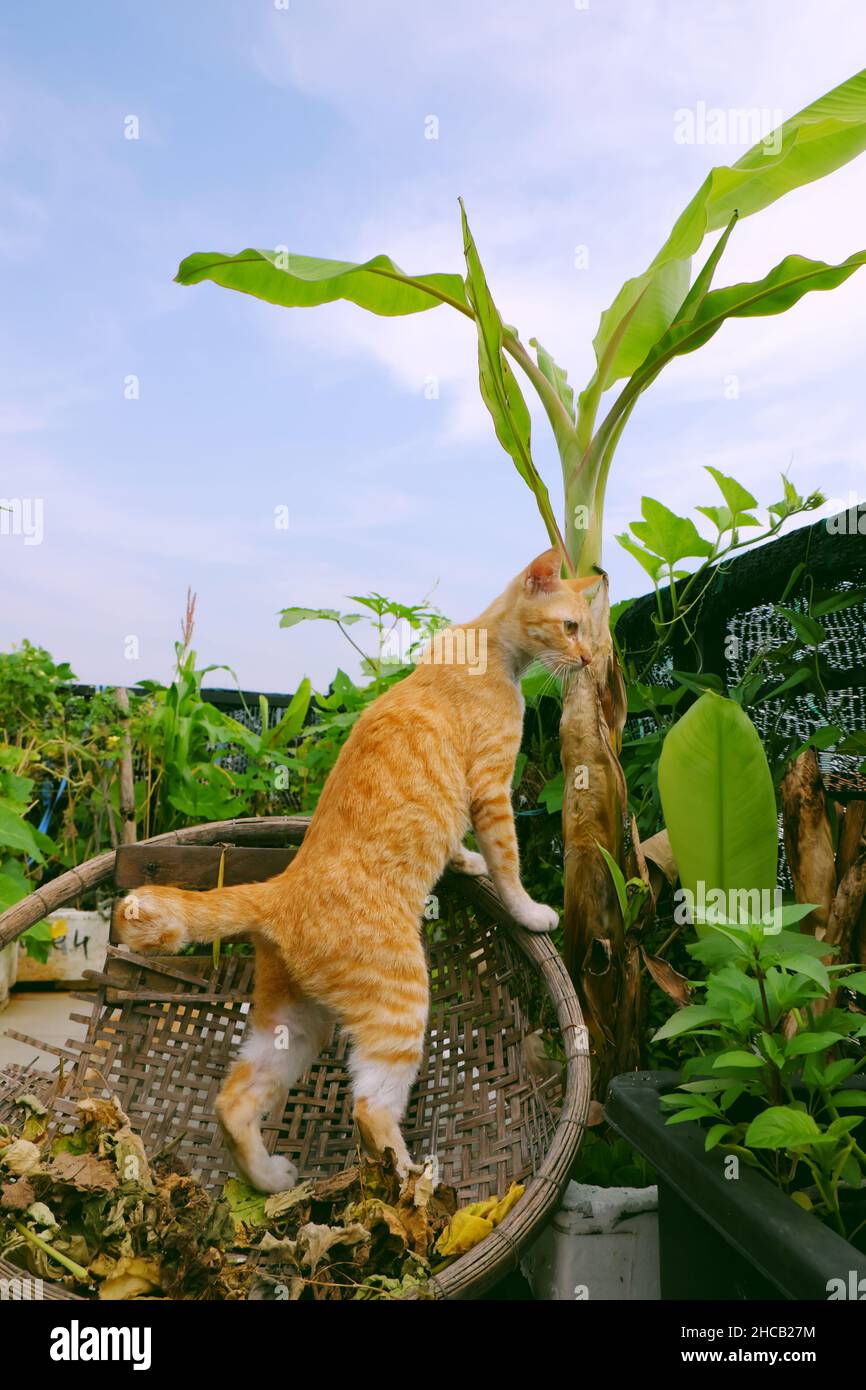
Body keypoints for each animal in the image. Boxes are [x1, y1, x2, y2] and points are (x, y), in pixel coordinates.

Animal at [115, 547, 594, 1189]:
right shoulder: (492, 789)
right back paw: (417, 1186)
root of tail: (280, 890)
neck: (486, 645)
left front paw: (463, 860)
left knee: (233, 1101)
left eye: (588, 630)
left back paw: (271, 1179)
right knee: (368, 1107)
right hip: (400, 1005)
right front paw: (529, 909)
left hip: (295, 1025)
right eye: (570, 627)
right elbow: (507, 862)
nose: (588, 660)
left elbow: (465, 845)